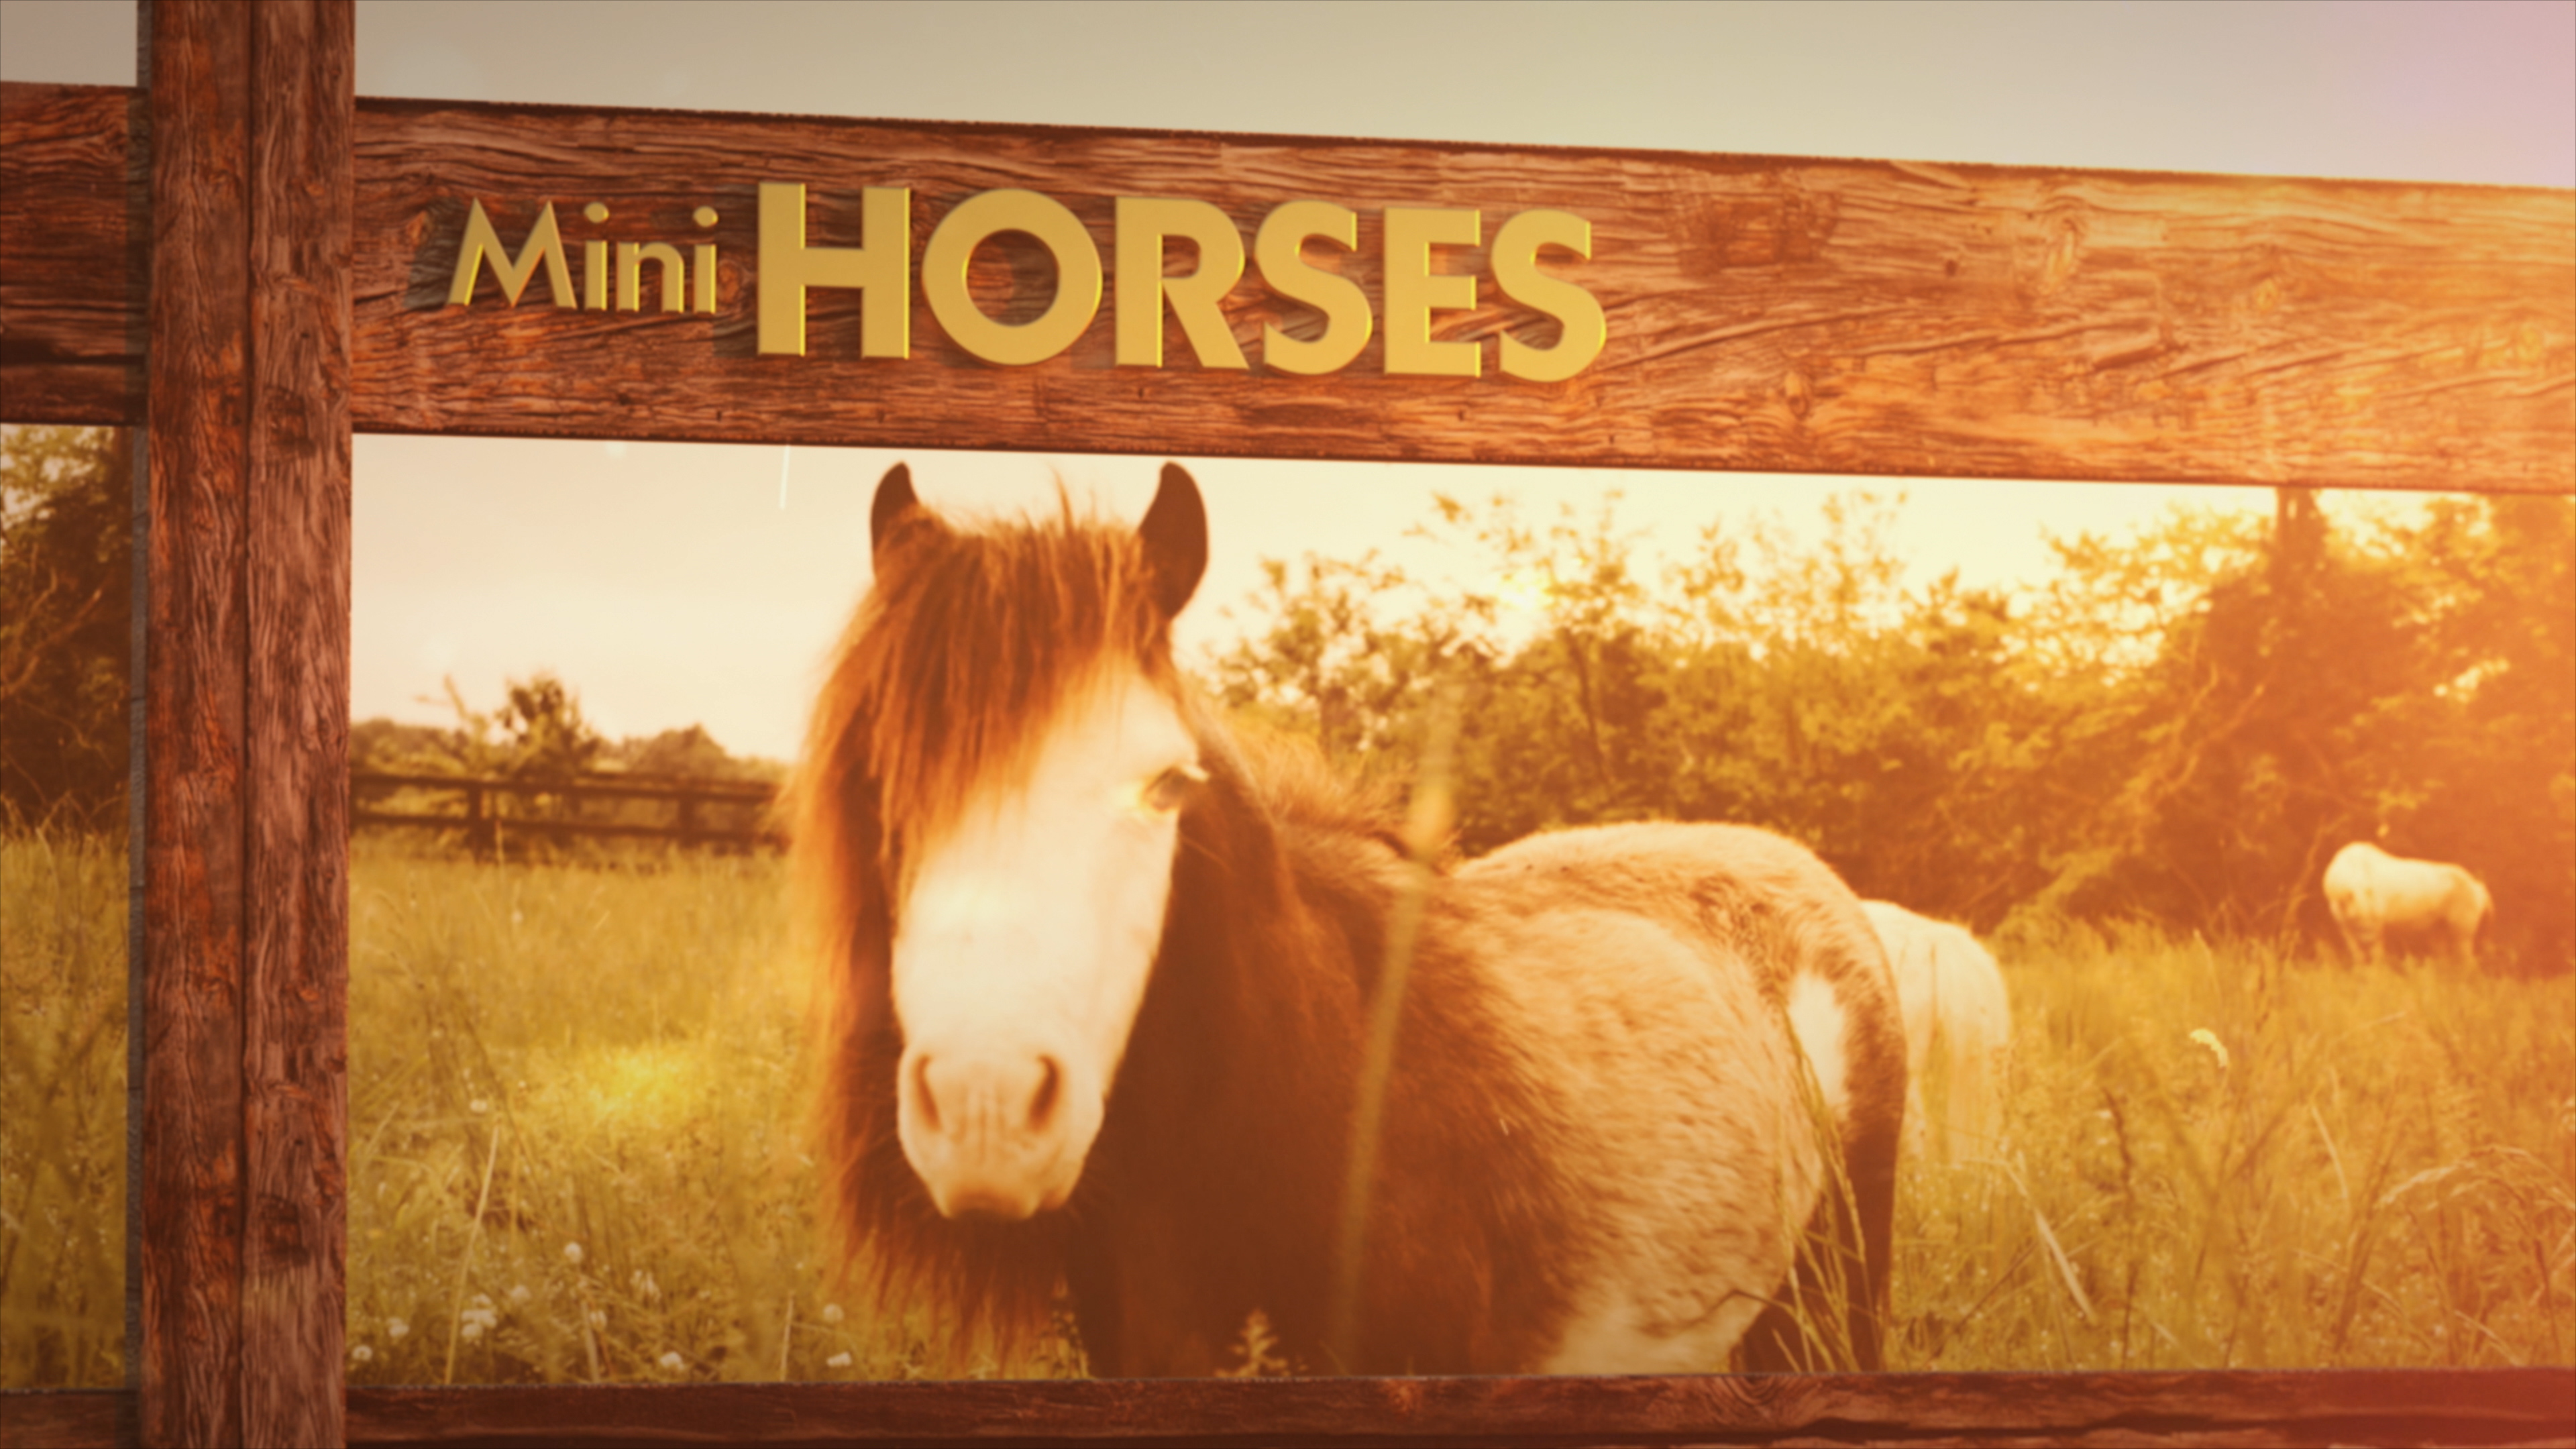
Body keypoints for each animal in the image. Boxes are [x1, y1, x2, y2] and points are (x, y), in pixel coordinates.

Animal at [2322, 841, 2492, 967]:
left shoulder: (2378, 927)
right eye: (2357, 917)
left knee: (2469, 962)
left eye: (2376, 916)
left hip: (2462, 932)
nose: (2368, 941)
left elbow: (2377, 956)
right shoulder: (2344, 926)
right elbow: (2358, 956)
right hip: (2438, 931)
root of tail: (2478, 887)